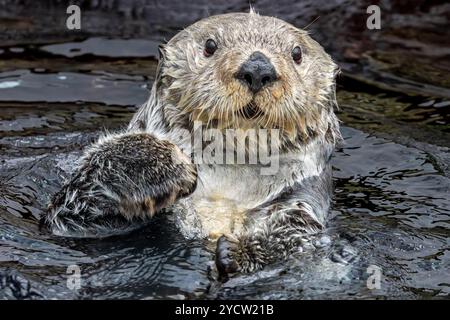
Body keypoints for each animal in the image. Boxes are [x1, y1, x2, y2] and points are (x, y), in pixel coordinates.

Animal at [41, 10, 342, 278]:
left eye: (297, 53)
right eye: (210, 46)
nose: (258, 68)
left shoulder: (302, 194)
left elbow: (295, 233)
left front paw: (239, 252)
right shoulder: (73, 219)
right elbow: (68, 210)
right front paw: (165, 164)